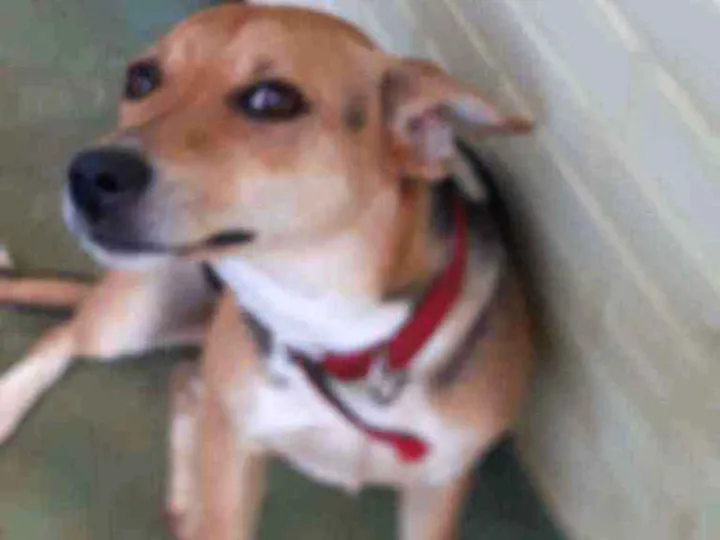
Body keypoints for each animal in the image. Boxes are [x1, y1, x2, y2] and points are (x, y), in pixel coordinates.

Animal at [0, 3, 534, 539]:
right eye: (141, 78)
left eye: (272, 99)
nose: (89, 175)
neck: (326, 323)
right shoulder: (236, 447)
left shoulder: (439, 487)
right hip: (136, 313)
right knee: (65, 338)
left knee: (185, 379)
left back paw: (186, 497)